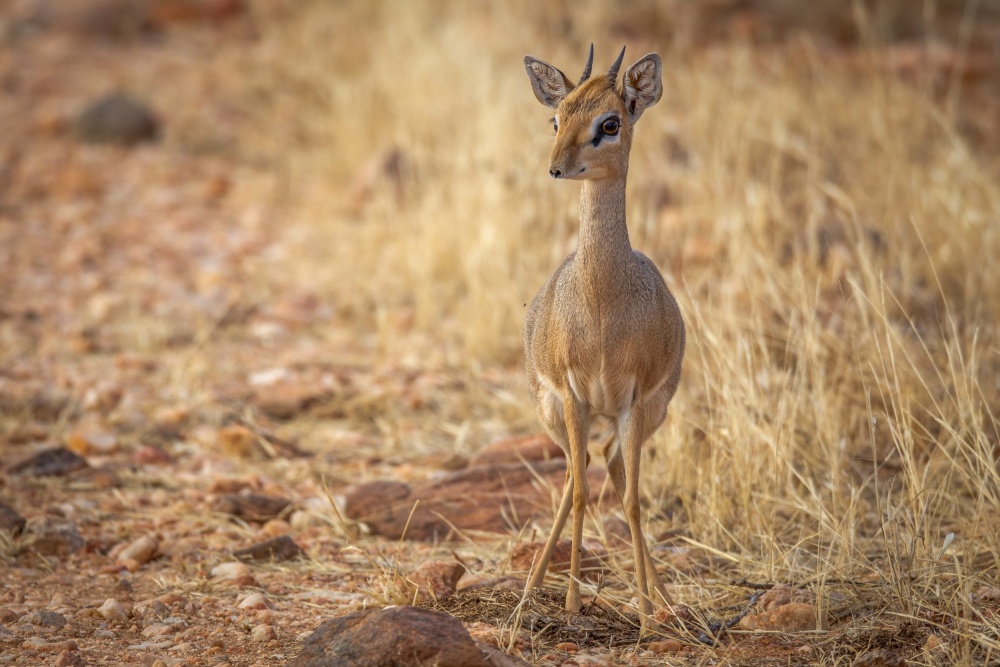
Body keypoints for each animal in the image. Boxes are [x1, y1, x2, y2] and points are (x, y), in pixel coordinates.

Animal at [520, 45, 684, 628]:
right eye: (557, 117)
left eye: (609, 123)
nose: (555, 167)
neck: (601, 305)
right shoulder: (573, 394)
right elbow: (582, 494)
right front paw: (570, 603)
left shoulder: (634, 398)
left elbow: (633, 500)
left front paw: (645, 611)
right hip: (560, 411)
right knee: (578, 474)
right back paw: (532, 588)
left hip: (640, 415)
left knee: (609, 467)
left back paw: (662, 598)